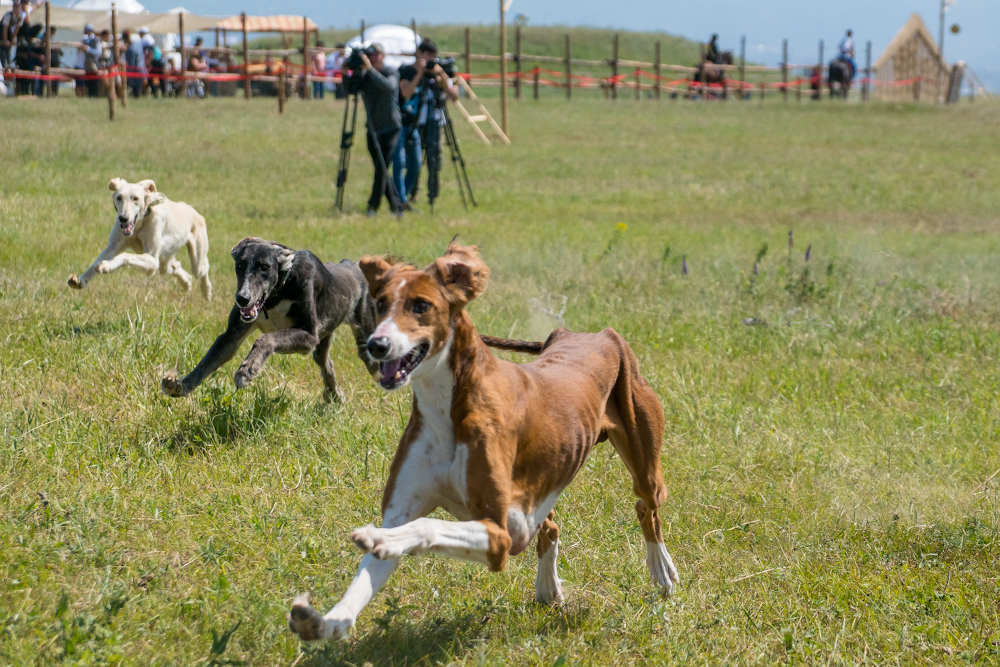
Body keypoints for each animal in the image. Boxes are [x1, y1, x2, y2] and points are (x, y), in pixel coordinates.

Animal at [69, 180, 214, 300]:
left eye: (135, 198)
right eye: (119, 197)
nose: (123, 218)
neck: (139, 223)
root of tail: (195, 212)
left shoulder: (152, 260)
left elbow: (125, 255)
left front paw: (106, 266)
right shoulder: (113, 246)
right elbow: (95, 264)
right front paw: (81, 280)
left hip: (196, 259)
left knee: (203, 268)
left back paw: (206, 291)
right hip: (165, 259)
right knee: (174, 266)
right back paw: (186, 283)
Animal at [160, 237, 378, 400]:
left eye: (264, 266)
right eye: (240, 265)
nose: (242, 298)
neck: (278, 293)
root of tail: (352, 266)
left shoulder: (308, 336)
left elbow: (265, 339)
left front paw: (247, 370)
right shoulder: (233, 334)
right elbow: (208, 361)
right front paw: (179, 386)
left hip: (364, 341)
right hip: (324, 340)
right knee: (327, 364)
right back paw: (335, 397)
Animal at [288, 241, 680, 640]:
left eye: (421, 305)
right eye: (380, 304)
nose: (376, 344)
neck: (448, 407)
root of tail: (590, 334)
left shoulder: (502, 535)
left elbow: (426, 527)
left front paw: (381, 539)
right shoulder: (404, 511)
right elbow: (367, 577)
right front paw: (327, 621)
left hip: (645, 461)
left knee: (645, 505)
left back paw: (661, 570)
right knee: (552, 524)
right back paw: (548, 588)